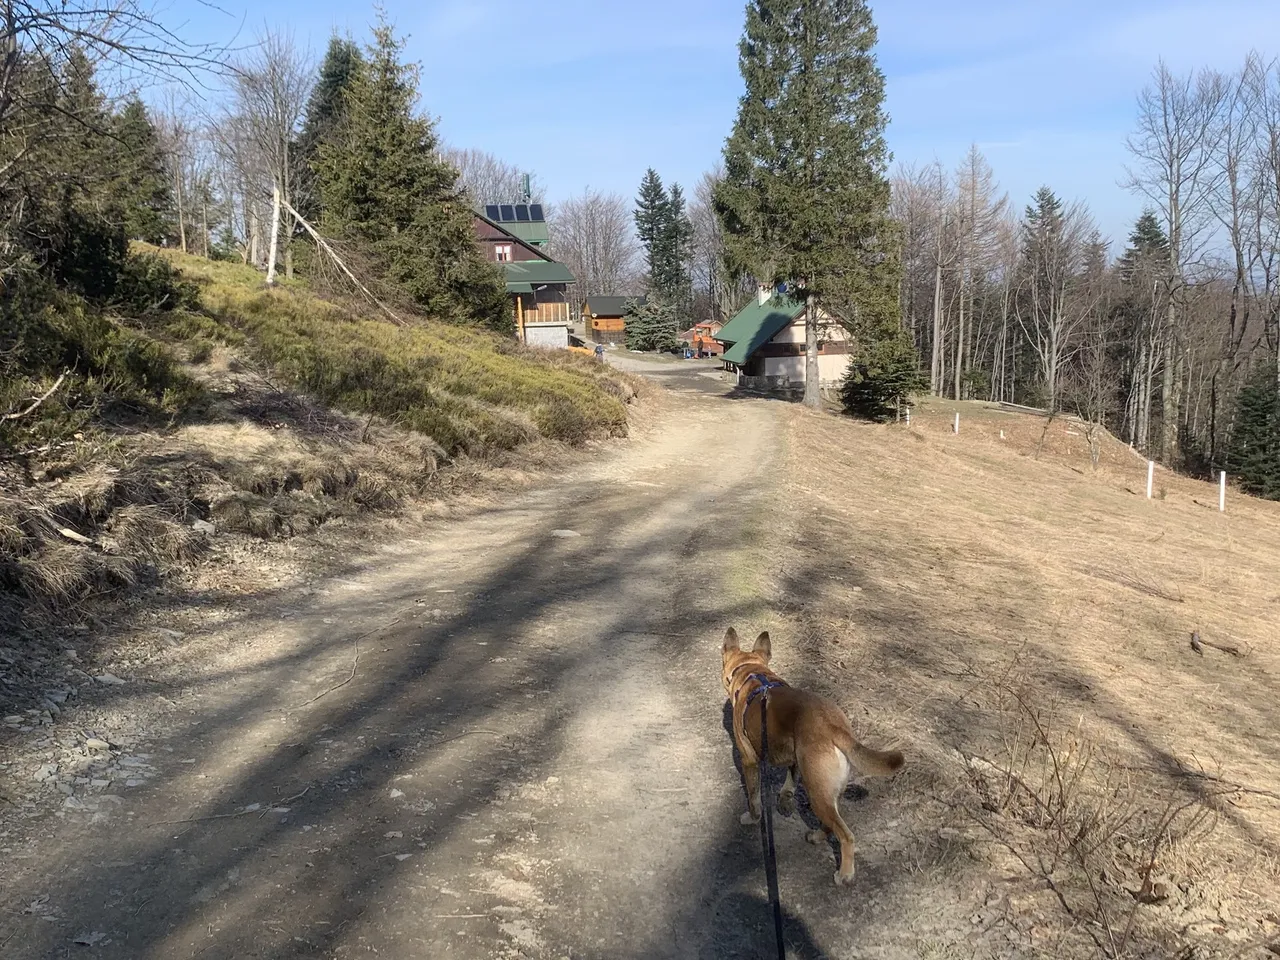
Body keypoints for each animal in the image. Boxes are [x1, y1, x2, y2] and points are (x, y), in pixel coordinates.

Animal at [727, 627, 906, 890]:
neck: (753, 675)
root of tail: (833, 727)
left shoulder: (748, 759)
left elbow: (753, 797)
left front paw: (752, 817)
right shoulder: (794, 757)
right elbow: (789, 780)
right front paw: (785, 798)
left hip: (817, 793)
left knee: (845, 835)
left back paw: (844, 874)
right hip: (827, 791)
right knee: (831, 824)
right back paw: (817, 836)